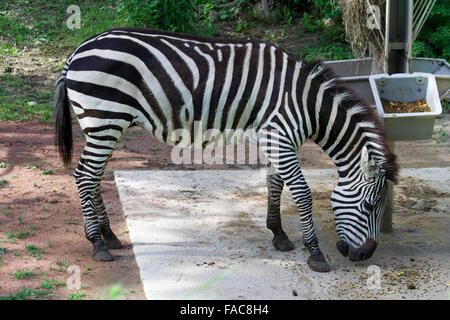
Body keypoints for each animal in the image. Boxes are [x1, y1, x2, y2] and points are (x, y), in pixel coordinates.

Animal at [53, 28, 398, 272]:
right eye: (370, 206)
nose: (365, 254)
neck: (307, 104)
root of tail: (77, 51)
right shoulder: (280, 136)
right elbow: (301, 192)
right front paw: (315, 253)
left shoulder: (274, 139)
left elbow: (275, 184)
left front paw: (278, 234)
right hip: (104, 119)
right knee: (84, 175)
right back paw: (98, 243)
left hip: (105, 124)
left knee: (94, 177)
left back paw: (109, 236)